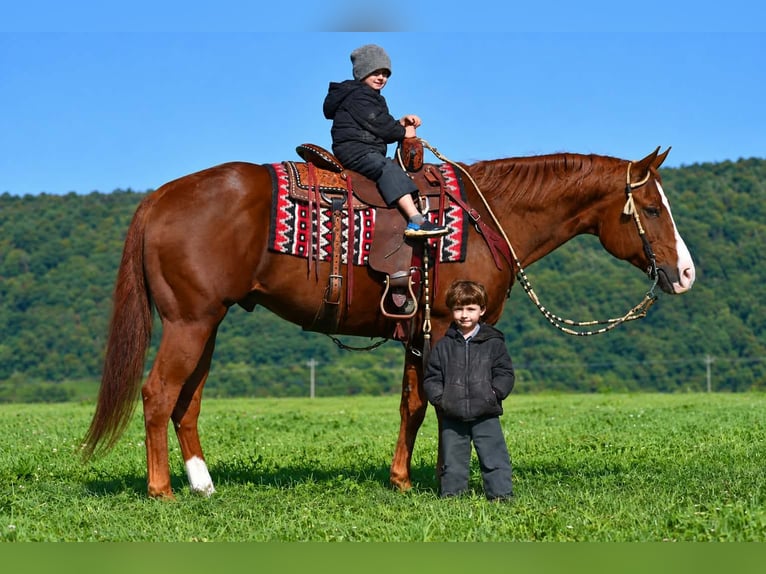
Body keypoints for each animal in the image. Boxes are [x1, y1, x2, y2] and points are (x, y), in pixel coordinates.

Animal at [82, 144, 695, 498]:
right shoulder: (445, 323)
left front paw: (401, 479)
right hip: (190, 322)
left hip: (206, 324)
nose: (686, 273)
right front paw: (436, 480)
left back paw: (203, 484)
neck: (487, 215)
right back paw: (160, 489)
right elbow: (436, 404)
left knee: (187, 401)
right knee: (159, 394)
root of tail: (160, 197)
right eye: (653, 209)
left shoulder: (419, 332)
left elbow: (413, 403)